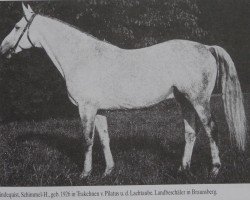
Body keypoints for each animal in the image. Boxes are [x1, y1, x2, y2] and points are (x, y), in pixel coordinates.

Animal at [0, 3, 246, 178]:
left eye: (17, 27)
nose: (3, 49)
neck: (82, 57)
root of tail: (206, 47)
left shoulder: (86, 108)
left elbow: (87, 140)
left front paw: (85, 174)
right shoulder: (99, 110)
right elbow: (104, 139)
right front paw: (108, 171)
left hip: (199, 100)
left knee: (212, 129)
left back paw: (215, 170)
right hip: (184, 101)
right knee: (191, 132)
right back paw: (182, 169)